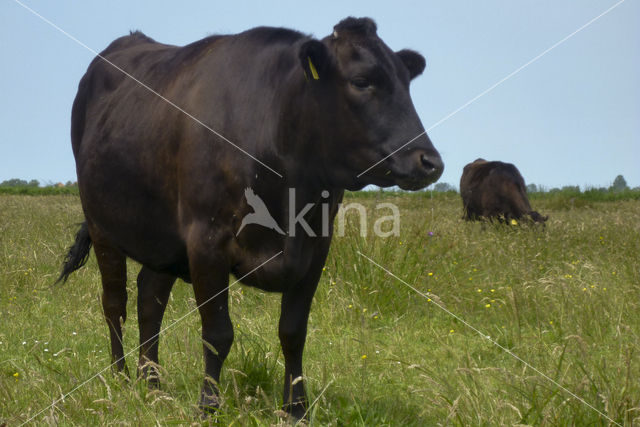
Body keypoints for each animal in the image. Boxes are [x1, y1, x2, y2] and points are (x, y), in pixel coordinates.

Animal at [57, 17, 442, 422]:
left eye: (406, 82)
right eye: (361, 81)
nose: (429, 162)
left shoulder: (315, 247)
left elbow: (293, 332)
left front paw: (296, 408)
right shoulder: (206, 241)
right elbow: (217, 333)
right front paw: (208, 406)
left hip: (161, 238)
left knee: (150, 299)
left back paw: (153, 383)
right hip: (102, 225)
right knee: (115, 303)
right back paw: (119, 379)